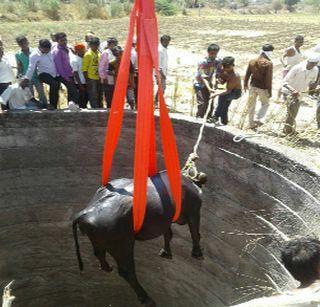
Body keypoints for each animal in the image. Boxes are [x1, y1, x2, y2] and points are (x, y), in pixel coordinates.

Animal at [72, 172, 204, 306]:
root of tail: (86, 214)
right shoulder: (194, 211)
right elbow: (194, 233)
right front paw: (197, 253)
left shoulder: (165, 220)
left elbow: (168, 234)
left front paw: (166, 252)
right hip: (123, 244)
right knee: (126, 270)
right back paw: (146, 299)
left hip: (99, 241)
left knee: (99, 254)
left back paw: (107, 267)